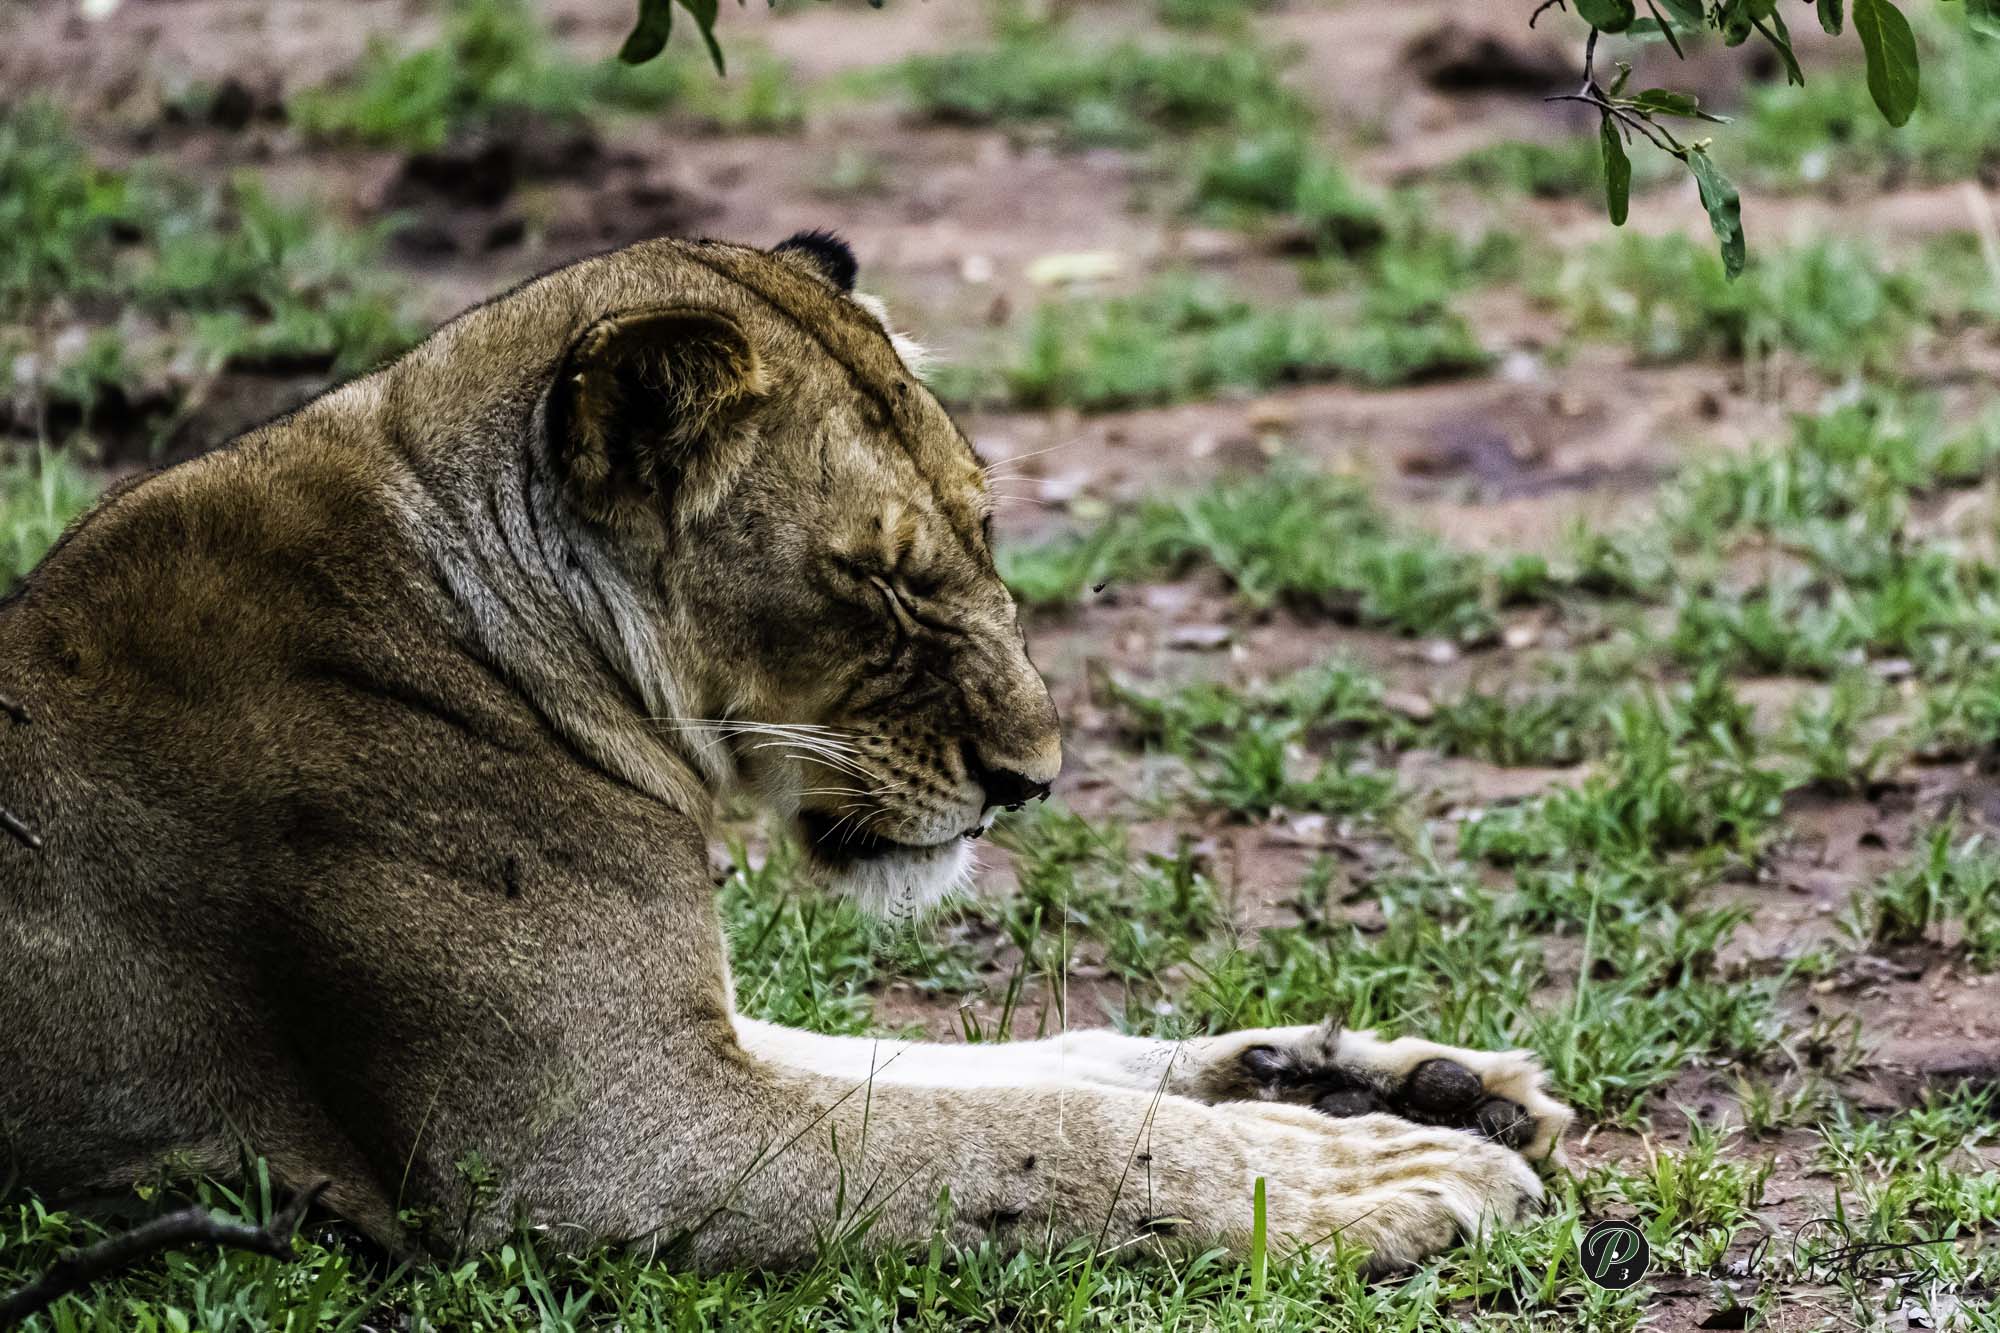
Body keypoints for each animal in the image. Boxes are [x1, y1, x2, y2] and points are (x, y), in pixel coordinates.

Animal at [0, 232, 1569, 1272]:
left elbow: (988, 1067)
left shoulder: (695, 1042)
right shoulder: (600, 1142)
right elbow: (1019, 1136)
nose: (1036, 778)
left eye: (986, 529)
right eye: (876, 580)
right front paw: (1375, 1167)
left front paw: (1384, 1080)